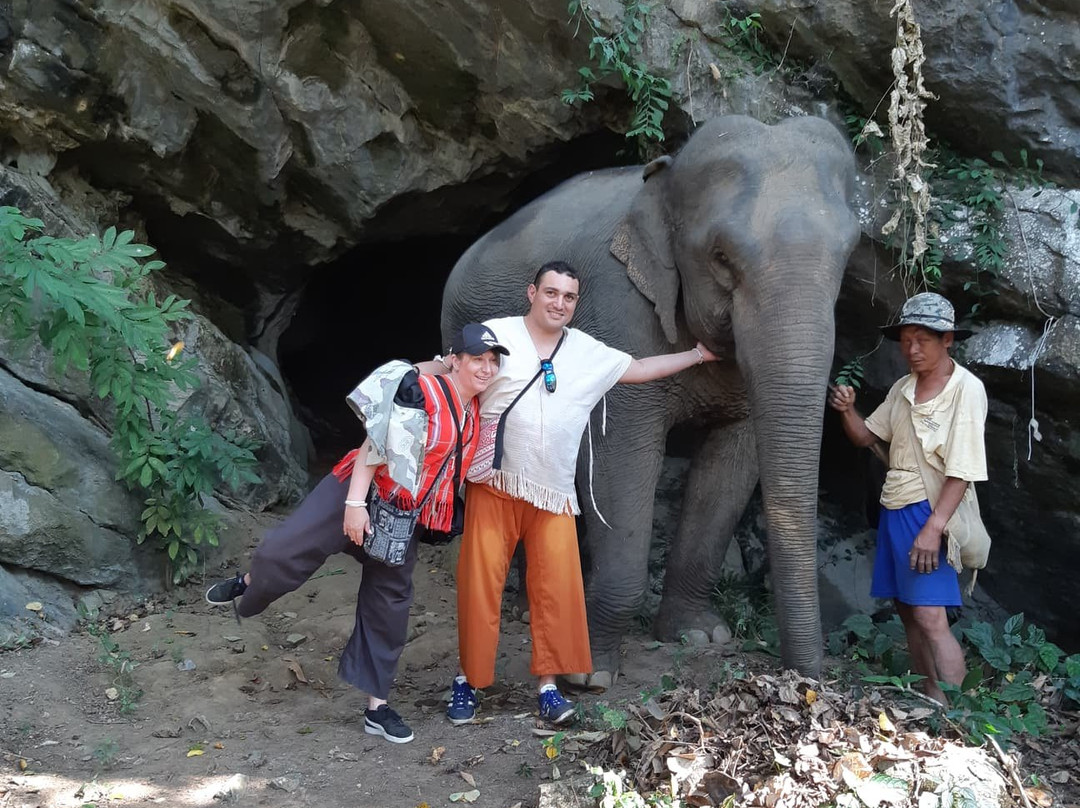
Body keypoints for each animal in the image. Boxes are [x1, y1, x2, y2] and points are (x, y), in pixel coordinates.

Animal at [440, 111, 859, 682]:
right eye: (721, 258)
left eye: (848, 256)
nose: (809, 678)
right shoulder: (618, 308)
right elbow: (623, 459)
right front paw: (588, 673)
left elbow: (732, 463)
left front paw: (699, 635)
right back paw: (526, 611)